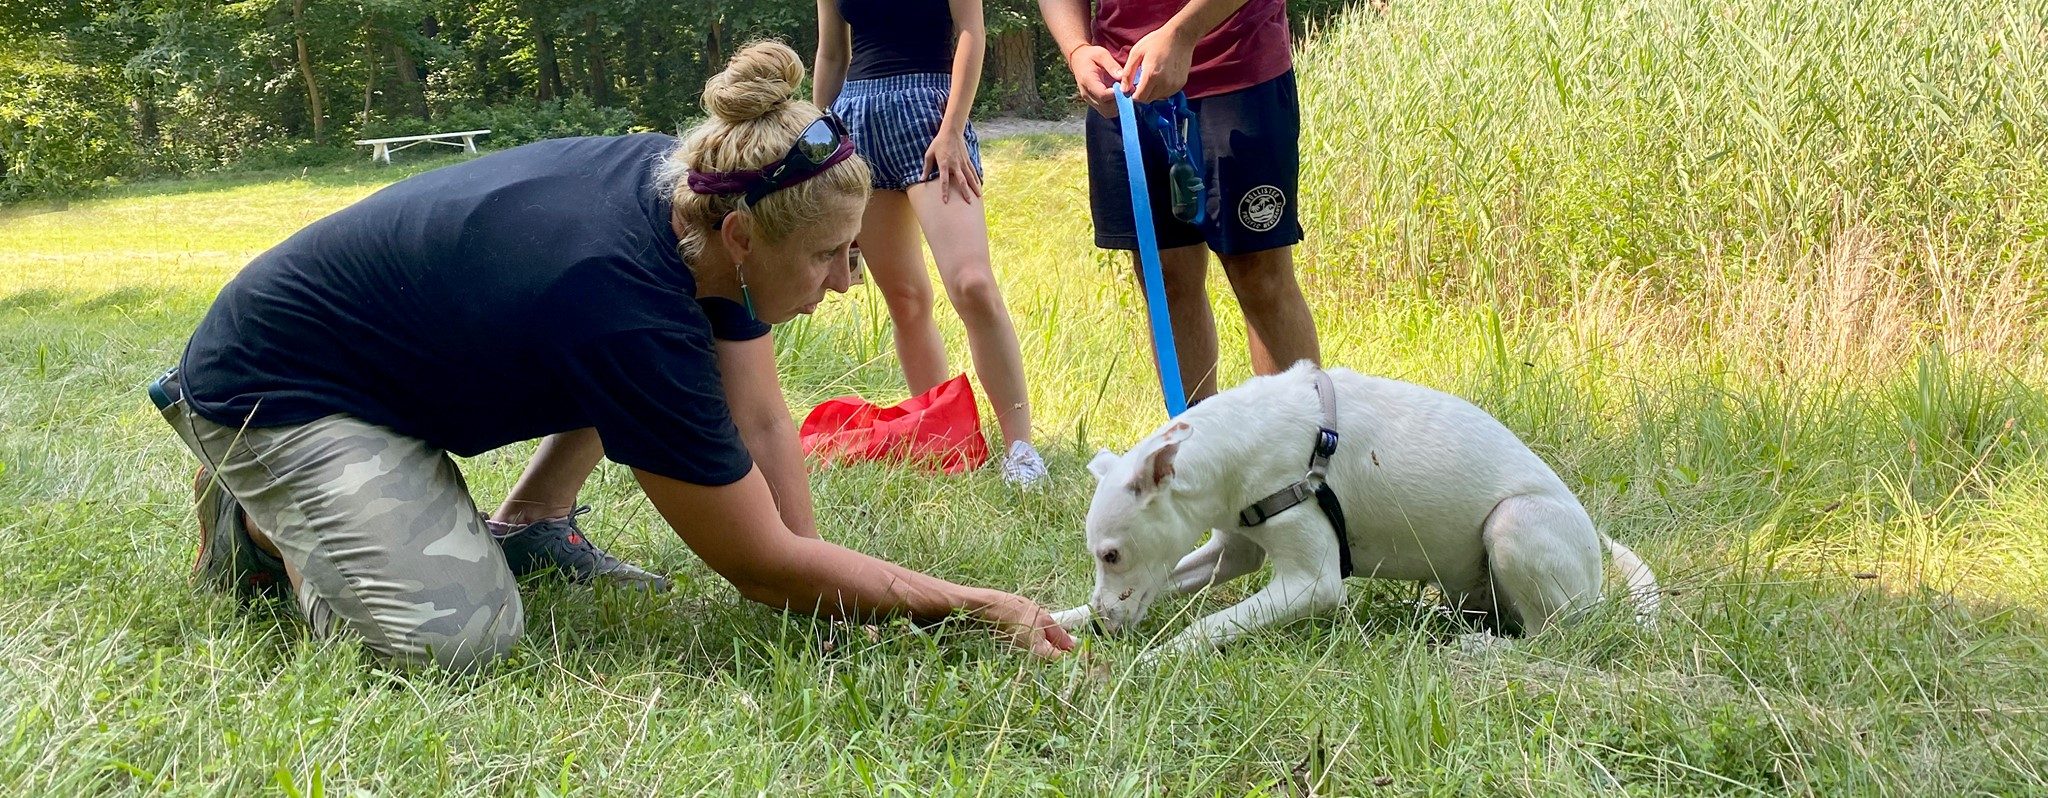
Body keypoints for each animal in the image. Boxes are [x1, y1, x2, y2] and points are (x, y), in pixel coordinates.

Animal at [1048, 364, 1654, 658]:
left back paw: (1482, 649)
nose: (1105, 622)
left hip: (1514, 522)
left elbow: (1204, 628)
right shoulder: (1231, 552)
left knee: (1551, 636)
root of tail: (1598, 591)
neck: (1234, 444)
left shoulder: (1312, 584)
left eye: (1112, 554)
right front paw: (1062, 618)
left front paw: (1144, 665)